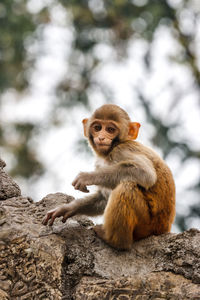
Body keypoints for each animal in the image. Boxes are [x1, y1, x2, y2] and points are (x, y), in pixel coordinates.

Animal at [42, 105, 175, 251]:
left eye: (110, 130)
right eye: (97, 128)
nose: (101, 137)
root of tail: (163, 229)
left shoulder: (122, 151)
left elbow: (145, 174)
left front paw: (86, 177)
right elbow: (103, 197)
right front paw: (67, 209)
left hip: (147, 226)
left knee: (127, 187)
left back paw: (115, 241)